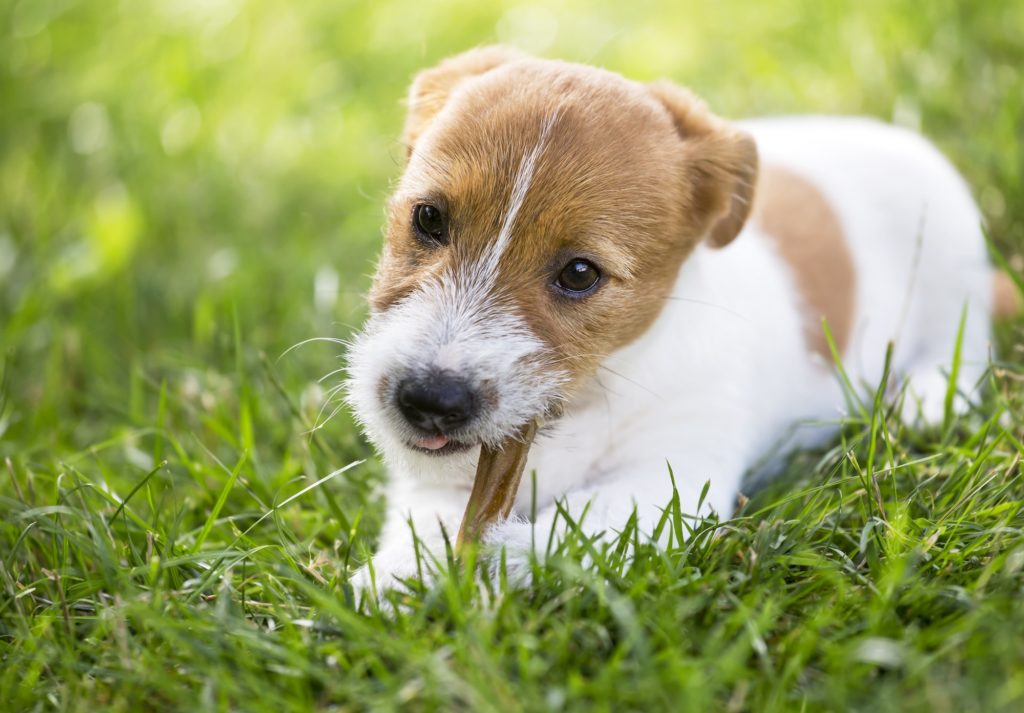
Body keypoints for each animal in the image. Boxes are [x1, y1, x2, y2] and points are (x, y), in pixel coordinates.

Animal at [346, 44, 1024, 590]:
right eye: (429, 218)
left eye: (580, 273)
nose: (429, 401)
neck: (584, 404)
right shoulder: (436, 483)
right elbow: (428, 522)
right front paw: (391, 580)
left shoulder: (672, 479)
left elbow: (584, 522)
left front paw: (507, 555)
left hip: (952, 270)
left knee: (962, 347)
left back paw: (927, 397)